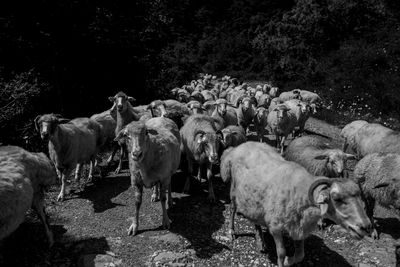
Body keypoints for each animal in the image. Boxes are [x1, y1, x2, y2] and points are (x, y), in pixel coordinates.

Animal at [220, 141, 370, 266]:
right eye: (337, 198)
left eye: (359, 197)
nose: (366, 227)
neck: (299, 192)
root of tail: (238, 147)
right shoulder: (276, 227)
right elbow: (281, 253)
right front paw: (283, 261)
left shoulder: (299, 228)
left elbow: (300, 255)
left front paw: (288, 261)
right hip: (234, 190)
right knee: (232, 209)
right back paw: (232, 231)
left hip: (253, 200)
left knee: (255, 218)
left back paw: (260, 240)